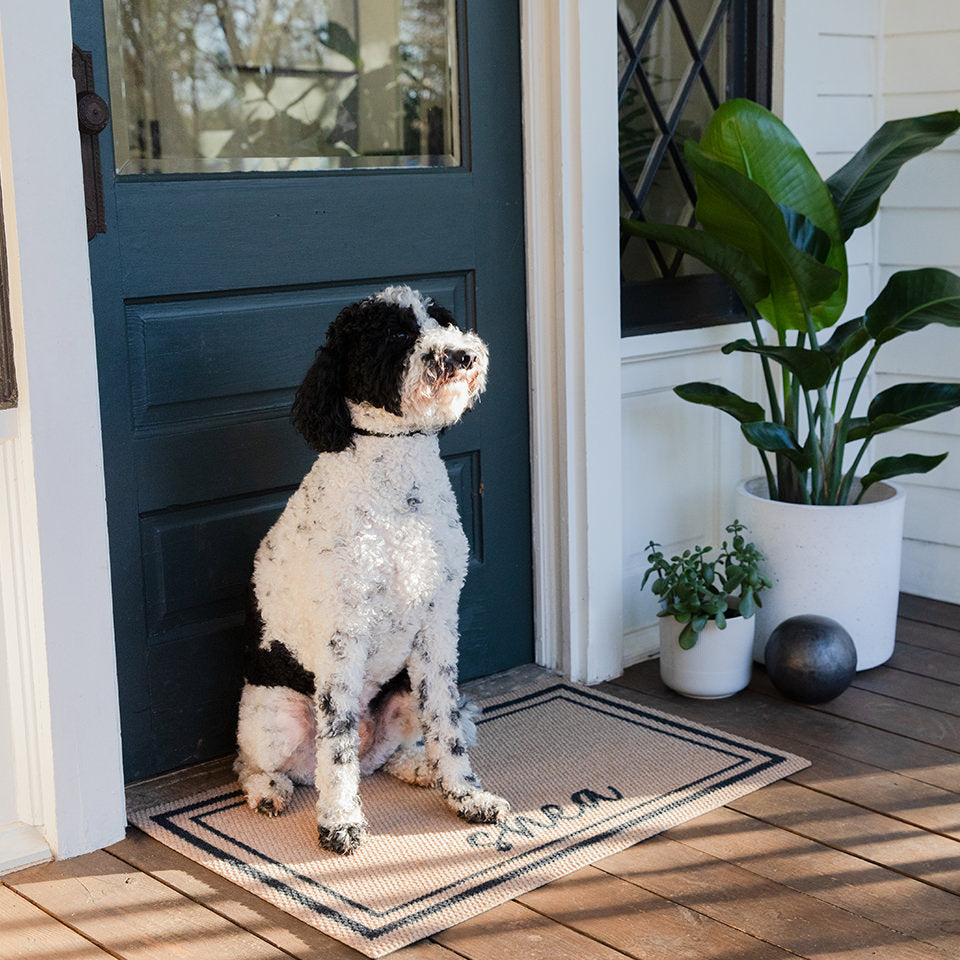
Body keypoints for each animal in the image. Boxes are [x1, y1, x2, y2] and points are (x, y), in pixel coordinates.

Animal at [234, 284, 510, 856]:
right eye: (396, 333)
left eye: (442, 318)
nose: (462, 355)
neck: (397, 478)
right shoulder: (344, 635)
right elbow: (335, 745)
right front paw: (340, 823)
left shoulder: (439, 624)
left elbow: (447, 724)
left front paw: (465, 796)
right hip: (270, 713)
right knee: (258, 764)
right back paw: (269, 790)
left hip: (402, 691)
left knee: (389, 754)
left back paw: (418, 767)